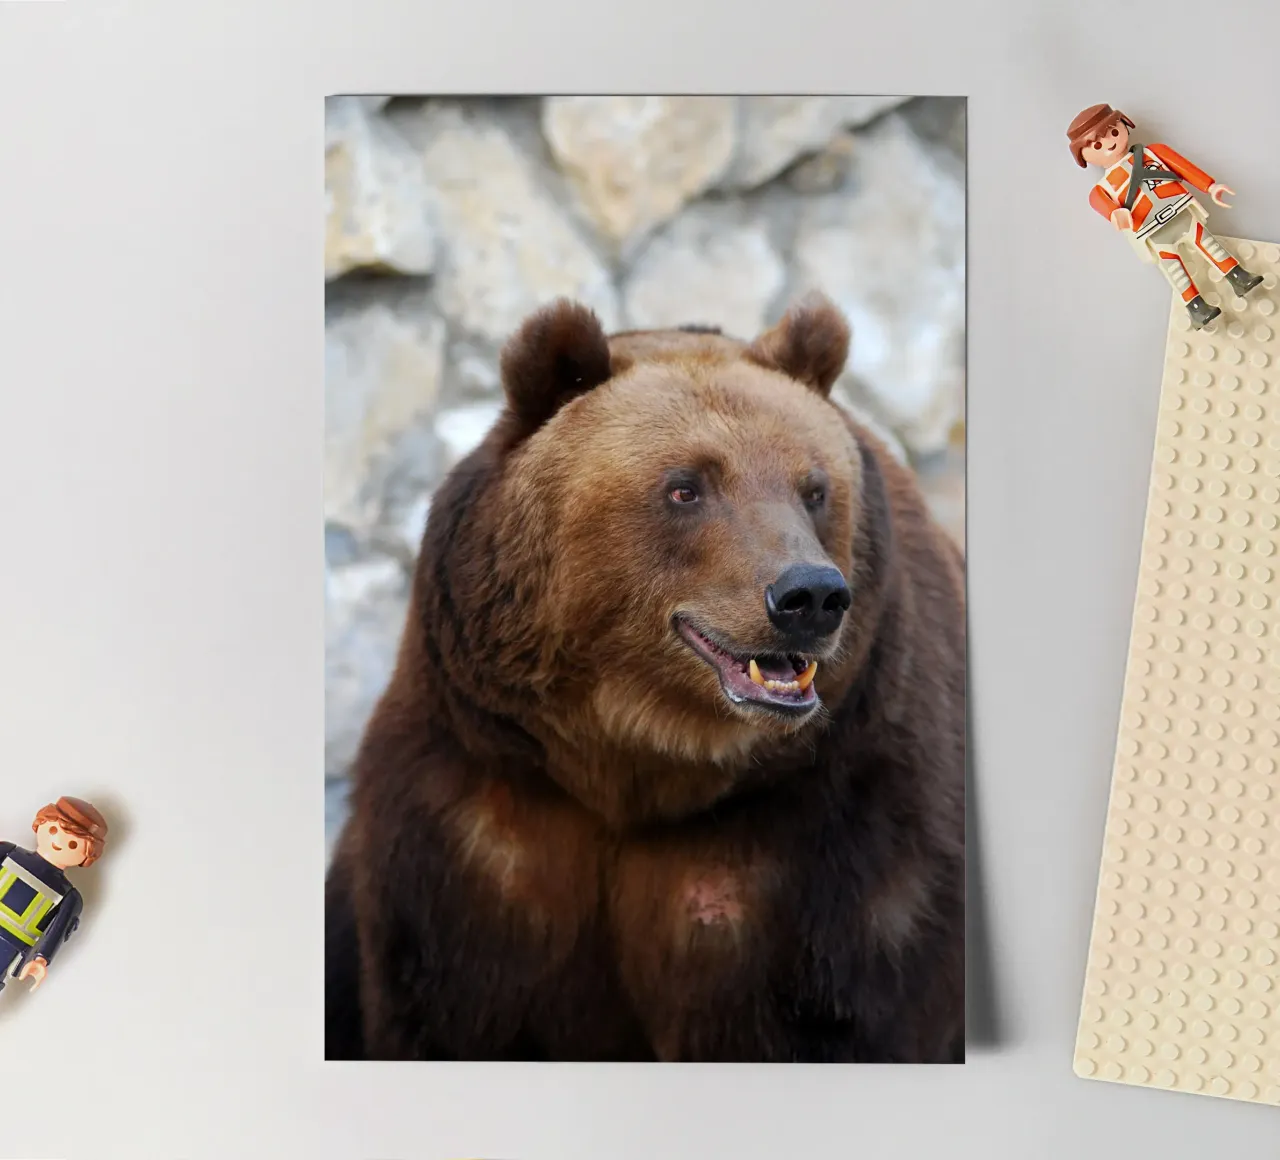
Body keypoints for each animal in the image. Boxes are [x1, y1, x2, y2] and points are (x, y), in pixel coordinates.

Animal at [325, 291, 966, 1063]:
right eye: (686, 487)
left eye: (814, 488)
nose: (809, 595)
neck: (637, 762)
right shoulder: (481, 821)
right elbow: (453, 1007)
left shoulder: (831, 836)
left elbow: (833, 1015)